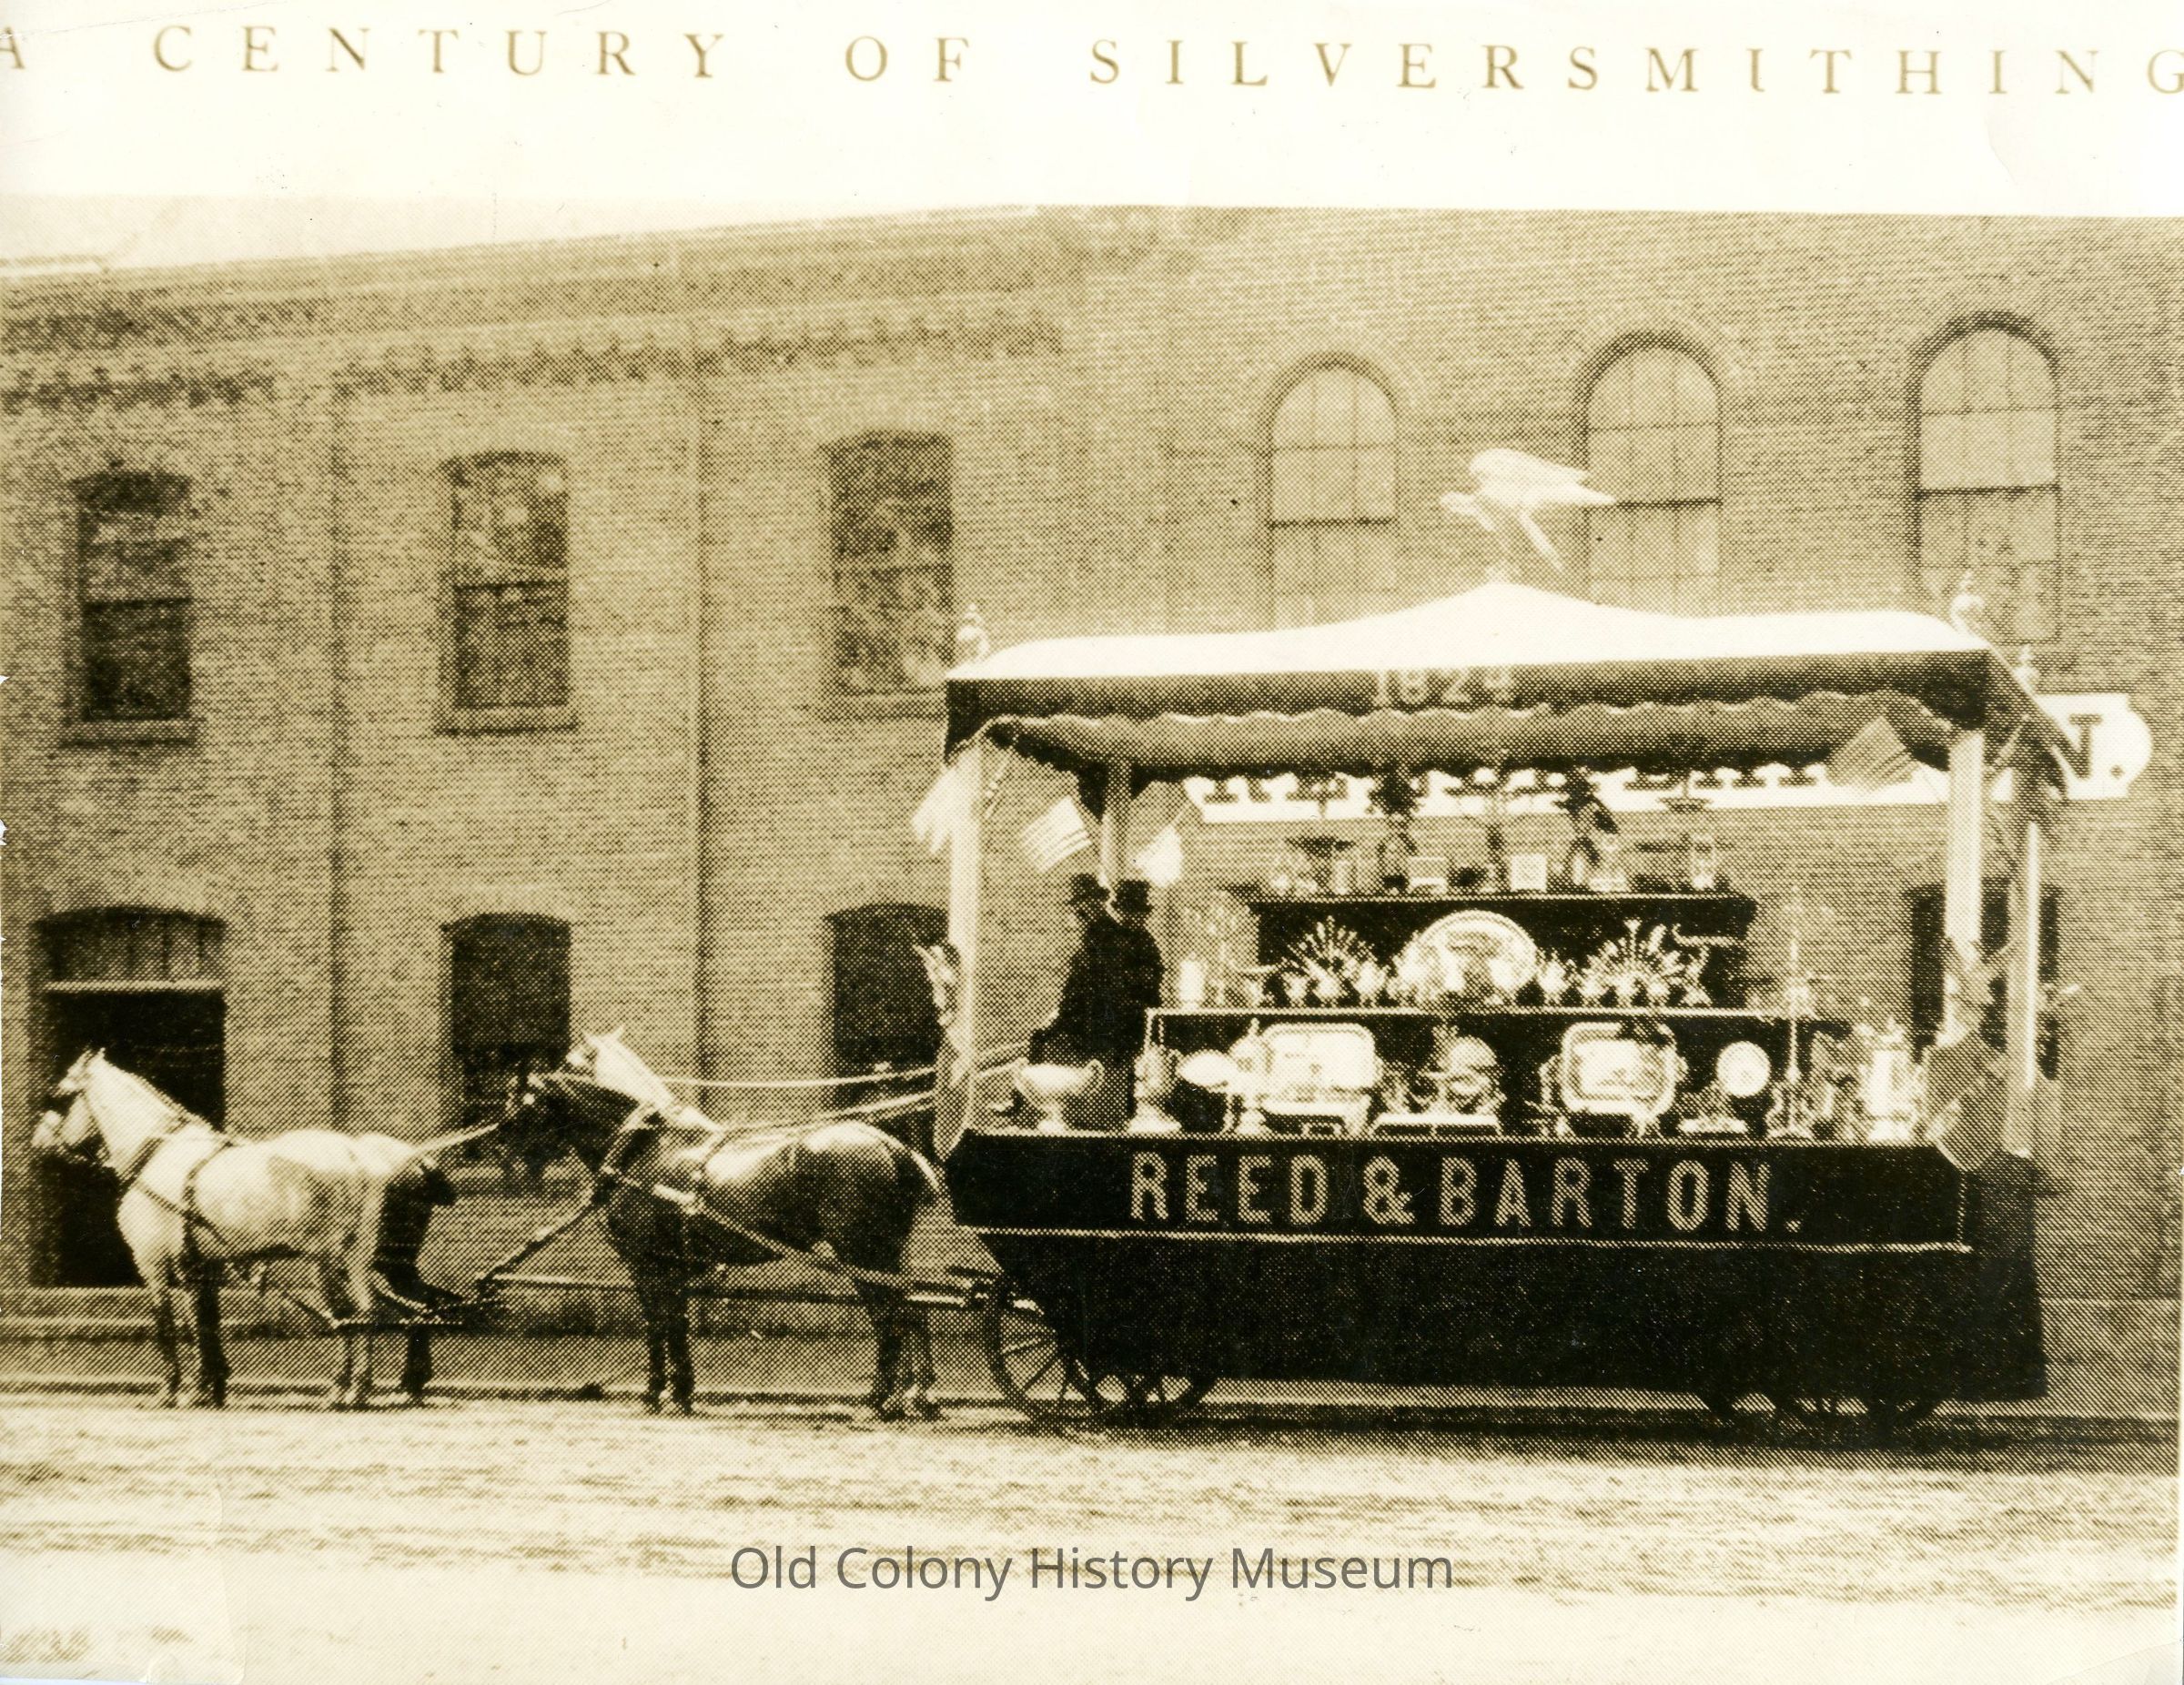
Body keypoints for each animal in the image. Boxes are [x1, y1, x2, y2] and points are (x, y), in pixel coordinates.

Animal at [31, 1050, 455, 1409]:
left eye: (59, 1097)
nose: (37, 1143)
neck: (157, 1154)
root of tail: (370, 1157)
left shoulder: (154, 1265)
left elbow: (170, 1325)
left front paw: (174, 1389)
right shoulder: (203, 1266)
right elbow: (207, 1323)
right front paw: (212, 1386)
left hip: (339, 1260)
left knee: (360, 1314)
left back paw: (352, 1389)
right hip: (390, 1261)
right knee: (418, 1306)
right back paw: (406, 1384)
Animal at [504, 1030, 944, 1419]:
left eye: (521, 1098)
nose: (500, 1146)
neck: (643, 1149)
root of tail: (890, 1144)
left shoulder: (646, 1264)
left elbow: (657, 1324)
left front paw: (654, 1393)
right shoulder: (672, 1266)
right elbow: (676, 1324)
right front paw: (682, 1392)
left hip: (862, 1250)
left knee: (889, 1317)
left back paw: (881, 1399)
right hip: (886, 1252)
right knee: (912, 1312)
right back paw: (914, 1396)